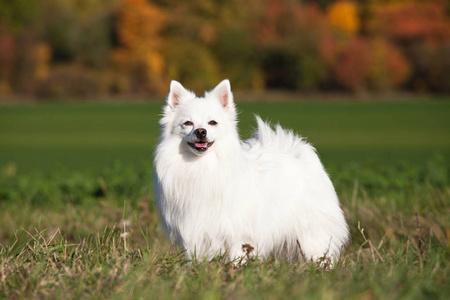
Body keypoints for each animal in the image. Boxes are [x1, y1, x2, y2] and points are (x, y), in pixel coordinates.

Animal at [156, 79, 350, 262]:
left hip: (311, 236)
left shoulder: (237, 235)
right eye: (188, 123)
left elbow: (236, 259)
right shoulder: (195, 235)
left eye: (213, 123)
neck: (202, 166)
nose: (201, 131)